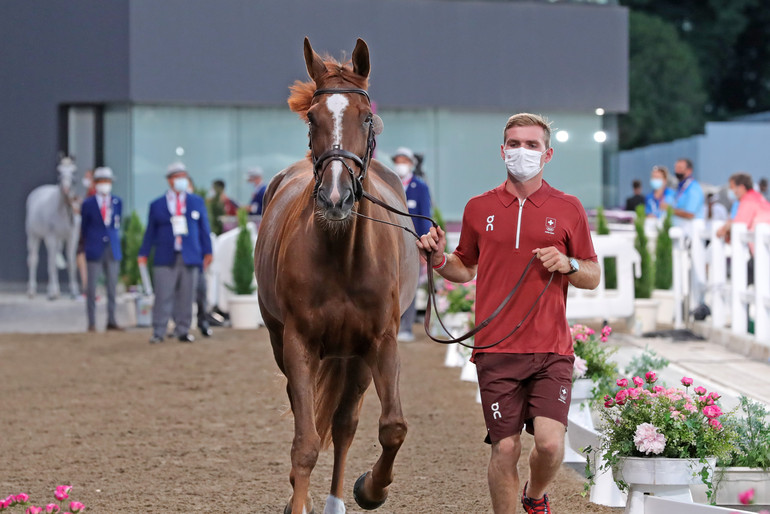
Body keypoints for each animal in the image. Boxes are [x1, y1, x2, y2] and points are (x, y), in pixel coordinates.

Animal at [25, 157, 81, 300]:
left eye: (74, 172)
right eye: (59, 172)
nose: (66, 189)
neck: (63, 211)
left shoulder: (72, 237)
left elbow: (71, 263)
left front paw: (74, 291)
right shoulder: (51, 236)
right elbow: (51, 264)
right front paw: (52, 293)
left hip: (58, 239)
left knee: (54, 258)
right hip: (33, 235)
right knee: (33, 259)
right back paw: (32, 290)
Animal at [255, 37, 416, 512]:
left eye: (365, 117)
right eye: (313, 118)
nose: (335, 197)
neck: (343, 255)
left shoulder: (382, 341)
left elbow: (392, 427)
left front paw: (371, 489)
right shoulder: (298, 342)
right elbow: (305, 441)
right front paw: (298, 501)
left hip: (356, 357)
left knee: (345, 423)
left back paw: (337, 499)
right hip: (284, 342)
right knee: (306, 413)